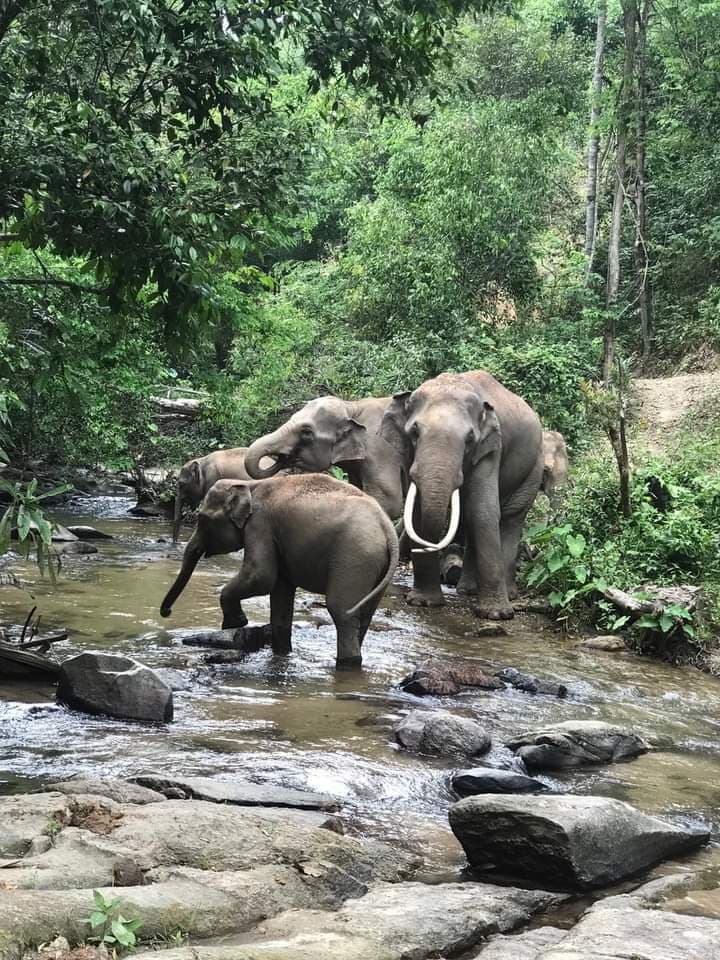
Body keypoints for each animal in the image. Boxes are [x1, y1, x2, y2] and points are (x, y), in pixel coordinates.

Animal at [159, 472, 400, 668]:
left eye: (202, 518)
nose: (167, 612)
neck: (249, 485)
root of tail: (387, 528)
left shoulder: (260, 525)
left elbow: (260, 576)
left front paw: (234, 623)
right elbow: (280, 592)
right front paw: (281, 652)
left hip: (355, 557)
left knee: (341, 611)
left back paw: (346, 664)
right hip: (375, 566)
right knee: (363, 614)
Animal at [382, 372, 540, 620]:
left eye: (469, 440)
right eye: (414, 433)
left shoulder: (490, 450)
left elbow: (484, 510)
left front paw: (496, 615)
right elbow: (418, 514)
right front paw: (424, 603)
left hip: (534, 469)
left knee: (511, 518)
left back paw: (508, 595)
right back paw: (467, 590)